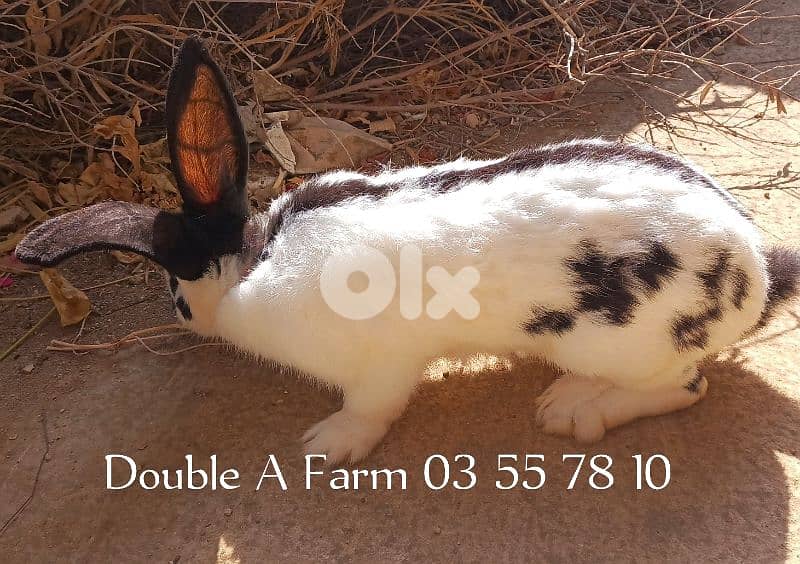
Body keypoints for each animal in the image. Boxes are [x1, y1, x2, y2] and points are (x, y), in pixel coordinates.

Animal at [16, 36, 800, 465]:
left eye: (177, 294)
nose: (181, 319)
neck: (254, 262)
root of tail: (760, 272)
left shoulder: (381, 363)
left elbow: (374, 408)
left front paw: (326, 445)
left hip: (621, 345)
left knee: (685, 386)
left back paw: (571, 408)